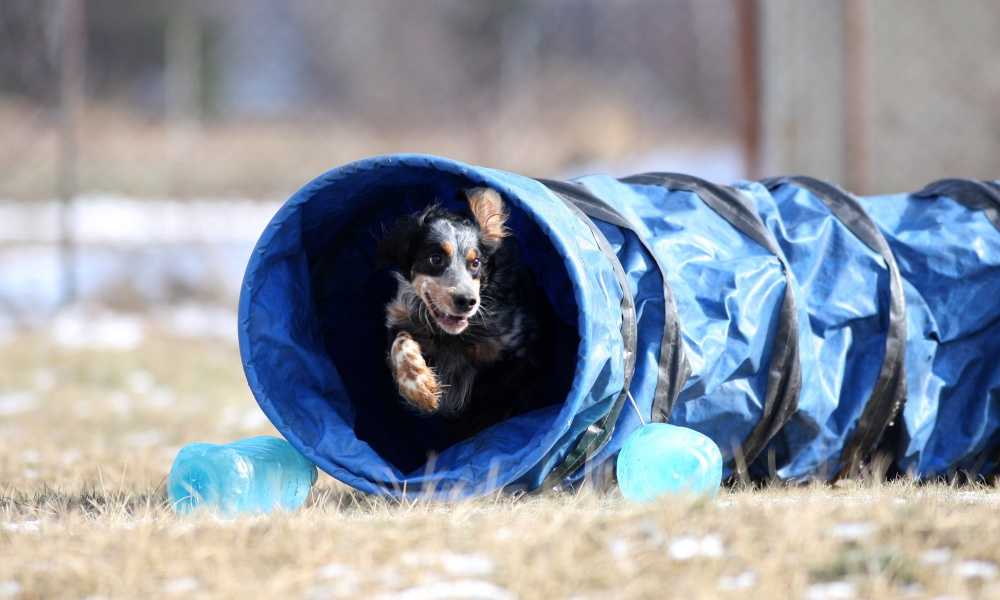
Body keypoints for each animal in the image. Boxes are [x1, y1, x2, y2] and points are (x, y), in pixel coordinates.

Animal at [378, 185, 540, 424]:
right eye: (435, 259)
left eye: (476, 262)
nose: (467, 301)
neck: (453, 337)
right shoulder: (401, 318)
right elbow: (399, 341)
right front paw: (420, 387)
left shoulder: (515, 356)